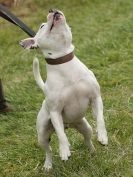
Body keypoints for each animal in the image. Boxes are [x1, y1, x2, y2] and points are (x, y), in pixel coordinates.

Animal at [20, 9, 108, 169]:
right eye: (42, 26)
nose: (52, 9)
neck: (64, 64)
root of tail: (69, 125)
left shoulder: (96, 98)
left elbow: (100, 118)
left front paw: (103, 136)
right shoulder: (55, 112)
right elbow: (61, 135)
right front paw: (64, 150)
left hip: (84, 126)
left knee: (87, 139)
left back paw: (92, 152)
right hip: (42, 135)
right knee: (48, 150)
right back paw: (48, 165)